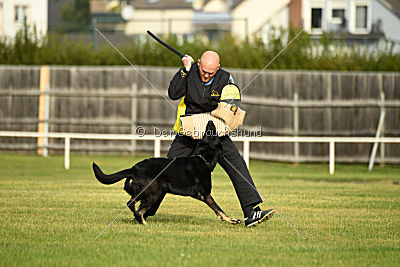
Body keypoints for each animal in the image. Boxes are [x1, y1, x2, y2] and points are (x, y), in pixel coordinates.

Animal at [92, 121, 242, 226]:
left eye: (207, 134)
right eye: (211, 133)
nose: (210, 121)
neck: (203, 158)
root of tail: (134, 168)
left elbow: (219, 211)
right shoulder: (205, 194)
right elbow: (219, 209)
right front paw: (232, 220)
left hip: (146, 193)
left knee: (132, 203)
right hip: (153, 193)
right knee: (136, 208)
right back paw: (144, 223)